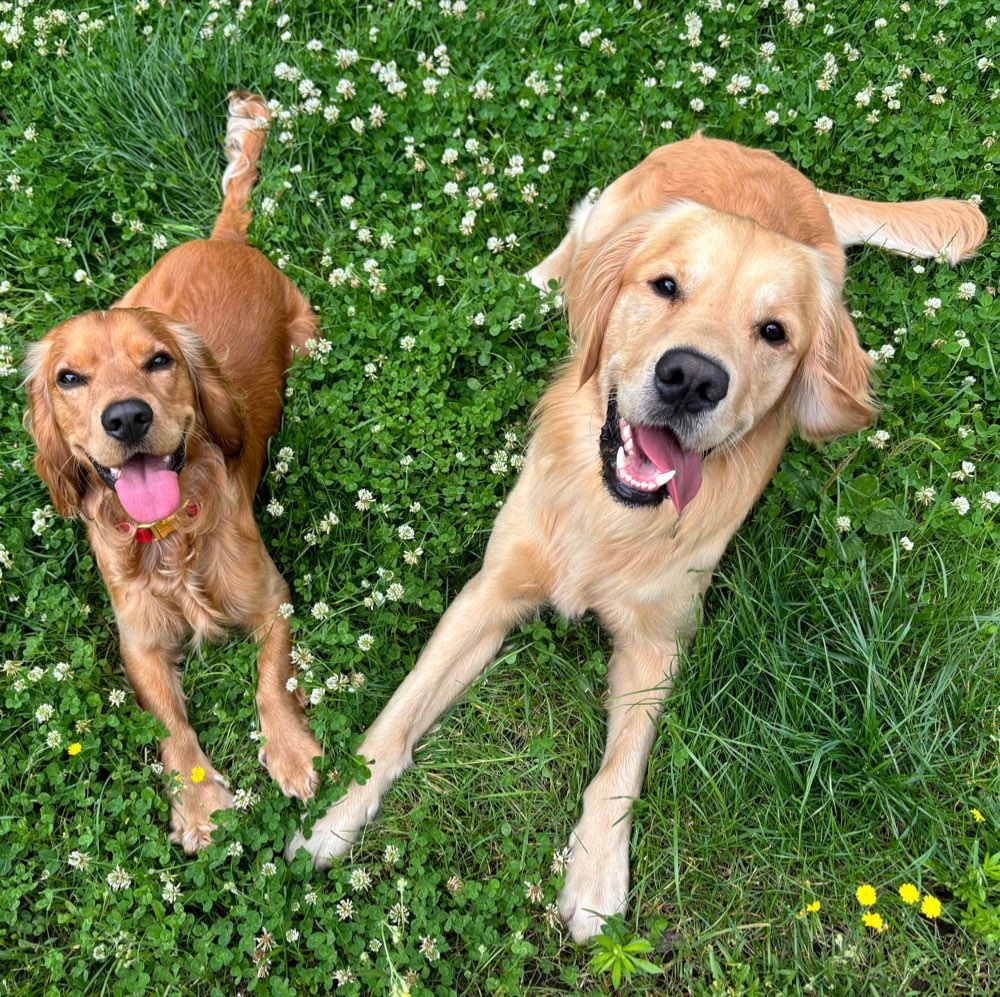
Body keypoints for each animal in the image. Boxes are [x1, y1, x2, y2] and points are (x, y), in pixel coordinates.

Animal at [25, 95, 320, 848]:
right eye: (69, 377)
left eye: (158, 360)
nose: (127, 417)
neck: (168, 539)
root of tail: (225, 239)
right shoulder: (139, 643)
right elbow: (170, 725)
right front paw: (201, 800)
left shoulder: (270, 597)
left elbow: (271, 678)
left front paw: (291, 753)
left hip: (306, 328)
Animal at [290, 136, 984, 936]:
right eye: (666, 286)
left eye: (773, 331)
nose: (692, 378)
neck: (610, 513)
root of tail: (766, 156)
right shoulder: (492, 588)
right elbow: (396, 717)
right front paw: (333, 814)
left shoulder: (657, 644)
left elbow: (620, 768)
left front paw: (594, 877)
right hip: (613, 213)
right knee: (572, 248)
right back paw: (535, 284)